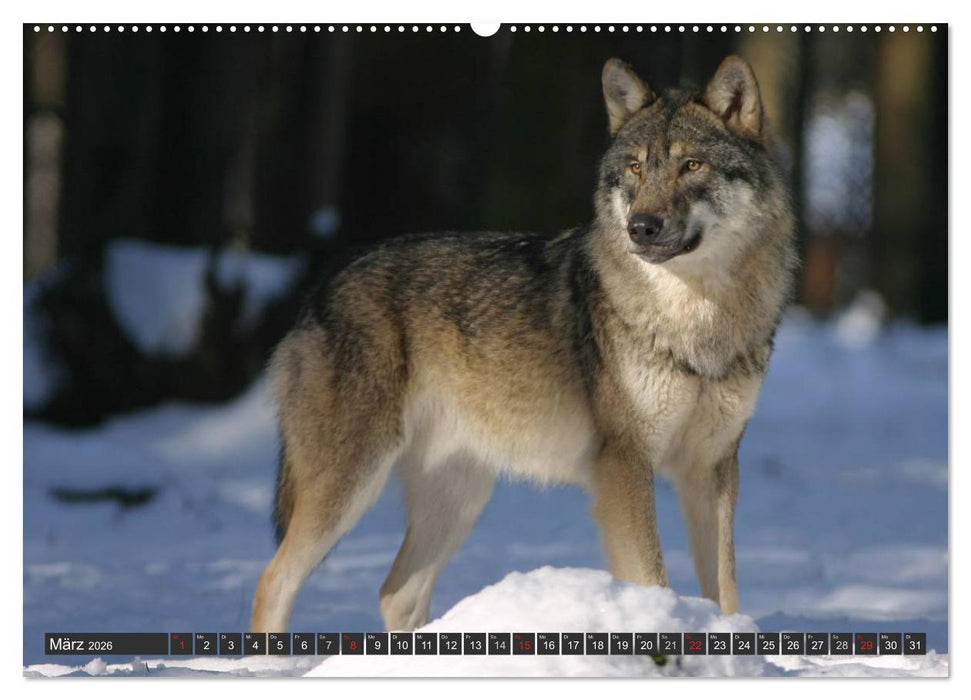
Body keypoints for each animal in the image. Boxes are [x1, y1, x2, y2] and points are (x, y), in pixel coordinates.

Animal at [250, 55, 797, 633]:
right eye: (634, 169)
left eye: (692, 165)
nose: (641, 227)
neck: (696, 322)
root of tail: (323, 284)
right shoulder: (625, 465)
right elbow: (653, 577)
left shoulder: (712, 468)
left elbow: (726, 590)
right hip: (351, 485)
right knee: (274, 580)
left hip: (458, 497)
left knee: (396, 592)